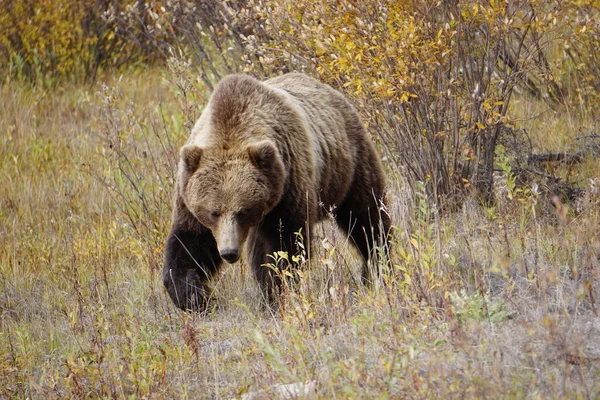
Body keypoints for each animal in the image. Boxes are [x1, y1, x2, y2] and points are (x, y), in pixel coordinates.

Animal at [162, 73, 392, 310]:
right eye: (213, 212)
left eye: (242, 211)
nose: (229, 252)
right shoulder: (188, 196)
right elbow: (189, 244)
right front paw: (193, 296)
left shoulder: (288, 187)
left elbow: (285, 246)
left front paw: (279, 289)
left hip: (348, 165)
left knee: (366, 218)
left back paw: (377, 268)